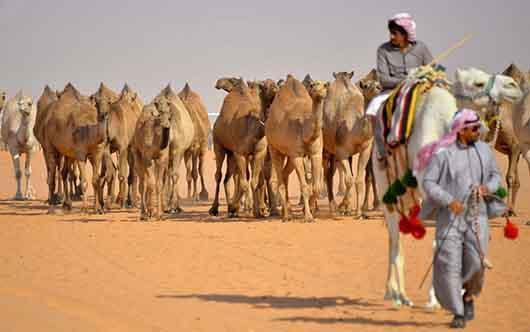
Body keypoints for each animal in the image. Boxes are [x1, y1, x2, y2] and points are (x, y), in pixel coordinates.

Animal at [41, 83, 108, 213]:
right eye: (97, 104)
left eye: (109, 103)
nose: (104, 114)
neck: (90, 132)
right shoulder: (81, 154)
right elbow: (84, 181)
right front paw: (84, 208)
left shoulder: (97, 154)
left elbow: (96, 180)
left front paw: (98, 209)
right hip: (50, 145)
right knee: (52, 176)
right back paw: (51, 208)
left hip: (69, 153)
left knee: (64, 173)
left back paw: (67, 205)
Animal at [153, 85, 194, 214]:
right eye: (158, 114)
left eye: (169, 115)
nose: (165, 125)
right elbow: (164, 176)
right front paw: (165, 206)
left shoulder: (178, 150)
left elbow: (175, 175)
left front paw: (173, 206)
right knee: (167, 174)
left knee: (173, 173)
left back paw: (175, 205)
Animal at [264, 76, 326, 223]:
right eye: (312, 85)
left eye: (325, 85)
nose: (318, 90)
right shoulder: (296, 154)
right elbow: (304, 186)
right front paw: (308, 217)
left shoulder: (316, 153)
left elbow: (316, 187)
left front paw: (311, 212)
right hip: (274, 147)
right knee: (279, 179)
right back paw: (286, 216)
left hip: (289, 155)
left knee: (284, 175)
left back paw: (288, 212)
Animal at [372, 66, 520, 308]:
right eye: (478, 83)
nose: (514, 86)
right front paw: (436, 299)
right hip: (385, 184)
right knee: (394, 235)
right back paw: (398, 295)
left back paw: (392, 292)